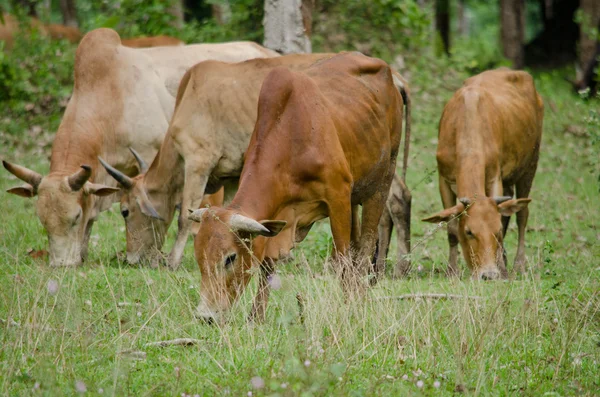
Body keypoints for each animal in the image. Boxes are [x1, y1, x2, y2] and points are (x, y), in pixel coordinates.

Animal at [96, 52, 336, 268]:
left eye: (125, 211)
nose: (130, 258)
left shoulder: (198, 163)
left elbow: (184, 216)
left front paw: (172, 261)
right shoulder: (233, 177)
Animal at [188, 51, 408, 322]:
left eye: (230, 258)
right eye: (198, 256)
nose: (205, 316)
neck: (292, 135)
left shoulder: (338, 198)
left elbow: (343, 259)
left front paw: (347, 310)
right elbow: (267, 265)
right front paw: (256, 317)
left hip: (381, 181)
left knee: (366, 246)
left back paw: (358, 301)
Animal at [422, 69, 544, 278]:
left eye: (497, 232)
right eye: (469, 232)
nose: (488, 274)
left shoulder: (494, 175)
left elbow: (503, 217)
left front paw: (501, 269)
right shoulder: (443, 178)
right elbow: (451, 227)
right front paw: (452, 270)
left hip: (530, 164)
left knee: (522, 214)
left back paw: (518, 264)